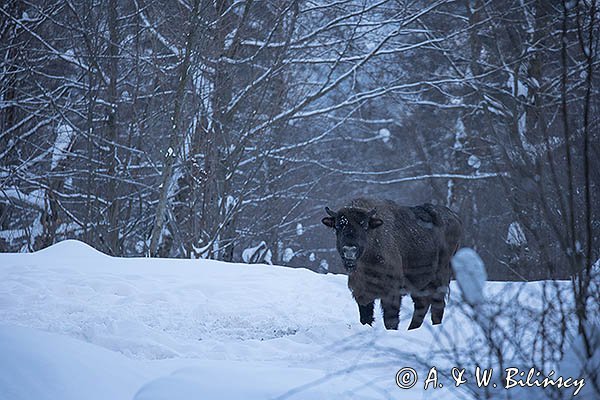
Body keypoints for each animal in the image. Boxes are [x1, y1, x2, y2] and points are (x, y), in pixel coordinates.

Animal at [322, 198, 462, 332]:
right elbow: (366, 317)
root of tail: (454, 216)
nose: (350, 250)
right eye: (338, 226)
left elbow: (390, 320)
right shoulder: (361, 292)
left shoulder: (391, 292)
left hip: (440, 277)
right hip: (420, 284)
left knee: (437, 305)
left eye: (365, 226)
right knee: (422, 306)